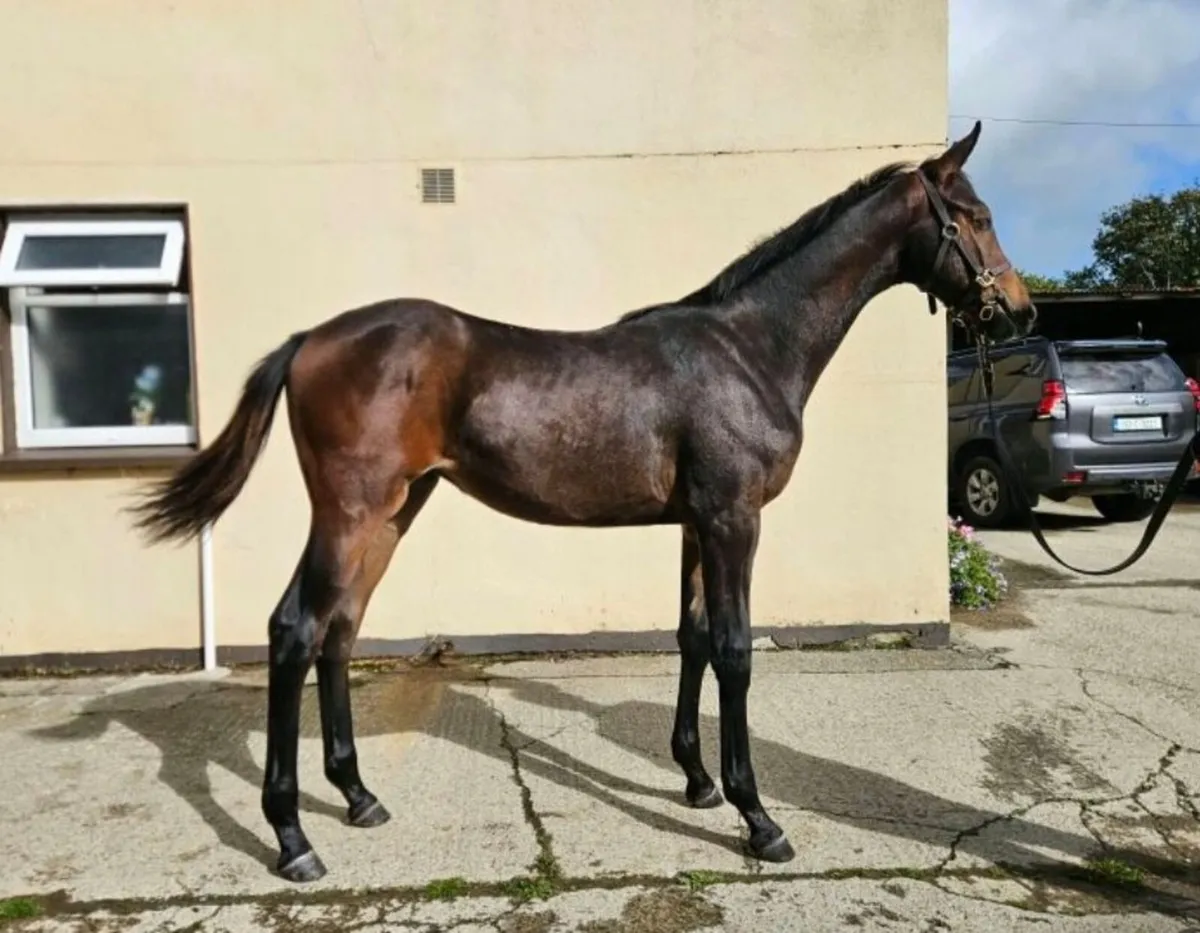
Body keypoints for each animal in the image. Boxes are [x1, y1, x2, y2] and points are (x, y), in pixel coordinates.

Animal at [128, 121, 1036, 883]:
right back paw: (292, 838)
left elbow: (693, 638)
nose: (1020, 309)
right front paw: (759, 817)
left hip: (392, 513)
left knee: (339, 630)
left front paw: (697, 779)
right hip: (350, 513)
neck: (749, 347)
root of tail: (310, 340)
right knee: (294, 629)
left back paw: (357, 797)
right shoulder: (734, 519)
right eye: (976, 214)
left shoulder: (697, 524)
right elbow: (736, 651)